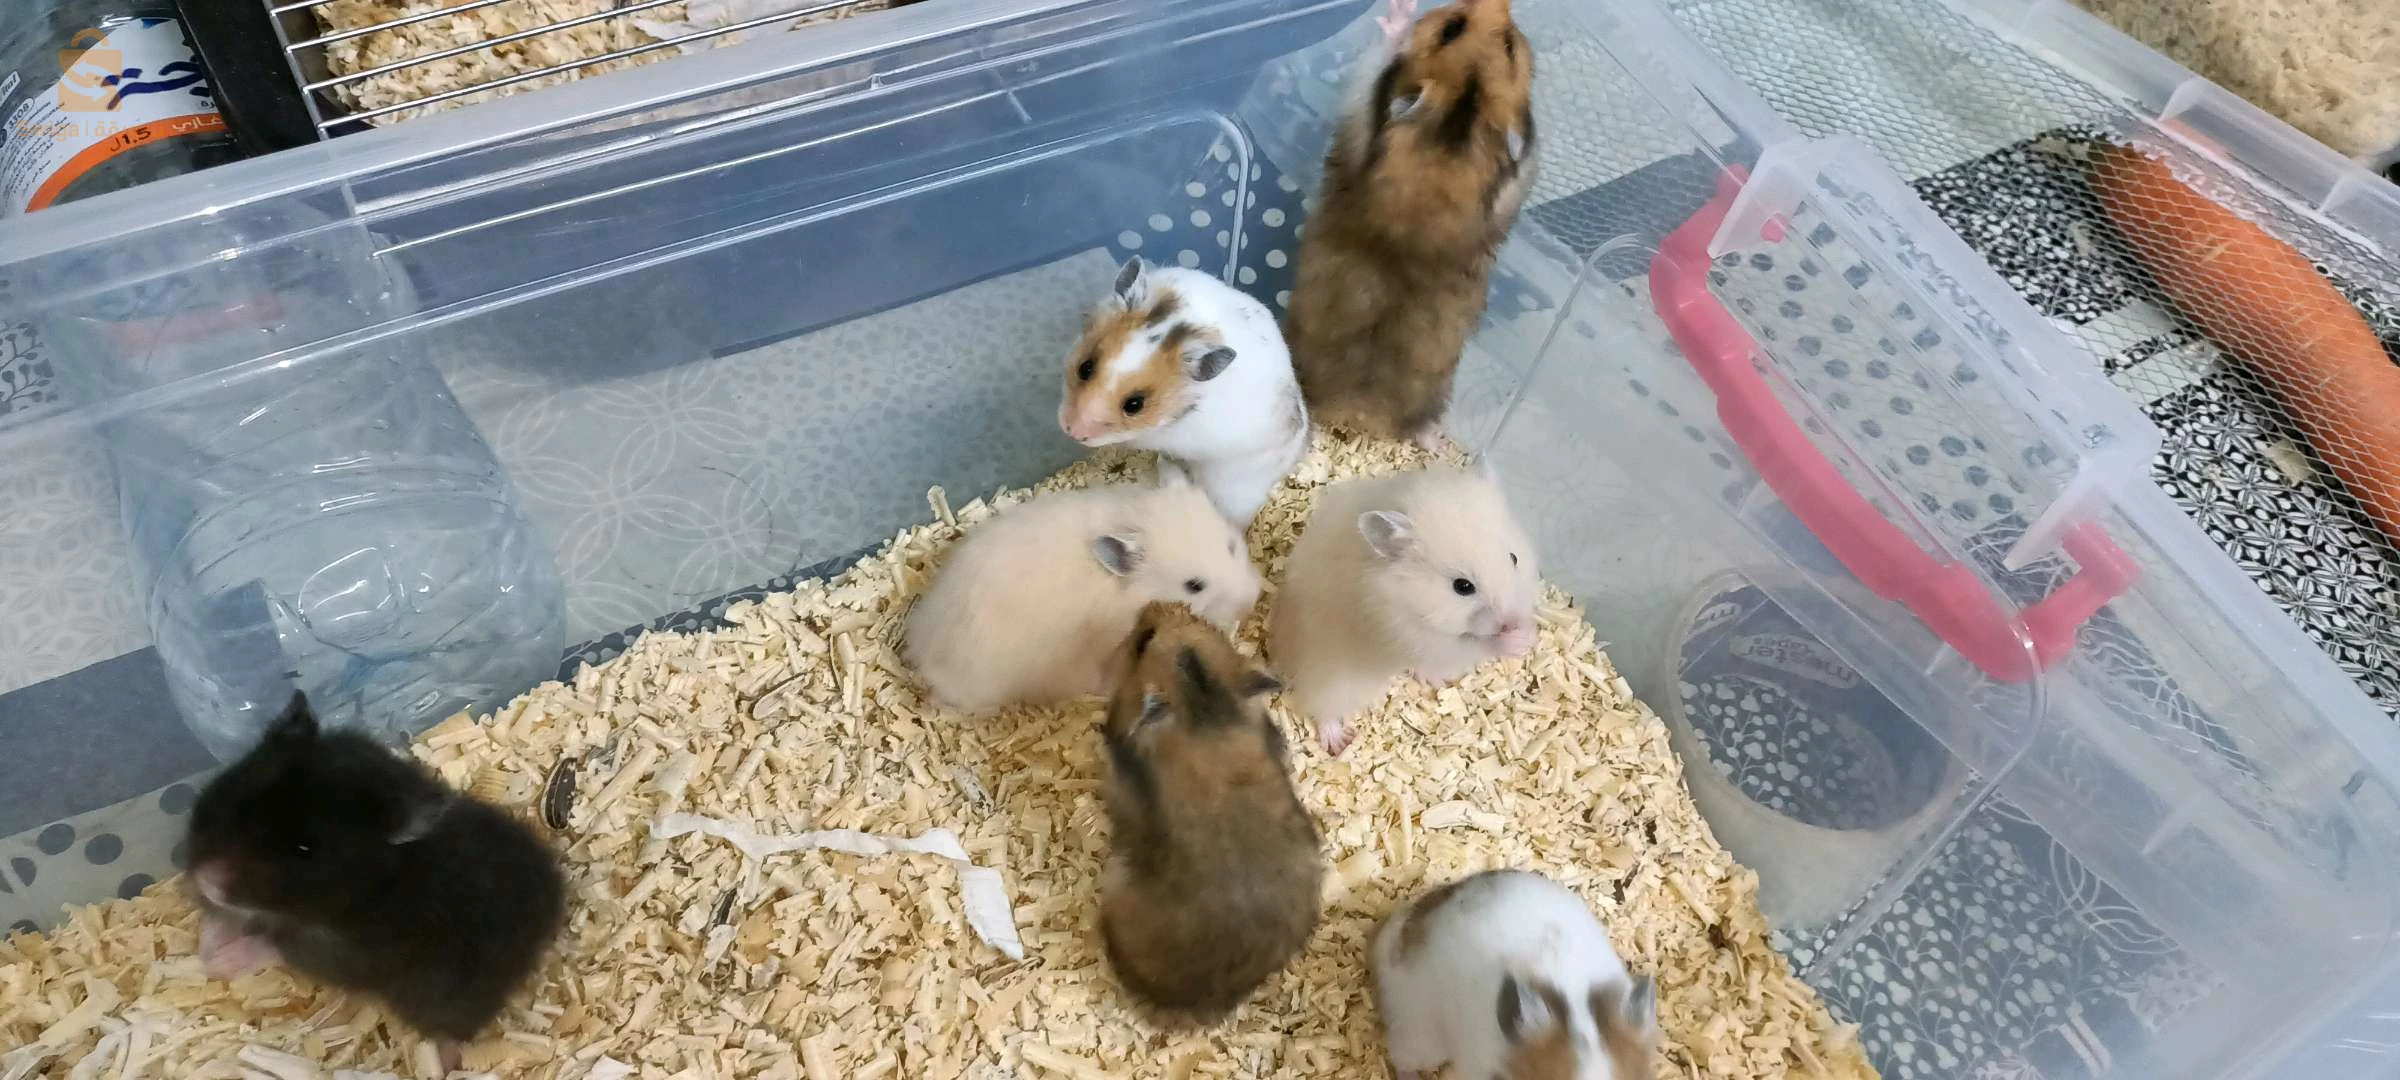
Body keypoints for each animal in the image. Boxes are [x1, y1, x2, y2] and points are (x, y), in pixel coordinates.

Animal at [185, 693, 566, 1072]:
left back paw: (447, 1064)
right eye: (237, 797)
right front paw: (210, 940)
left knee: (455, 1031)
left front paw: (223, 958)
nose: (206, 880)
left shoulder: (349, 954)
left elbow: (274, 946)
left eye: (306, 848)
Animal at [1268, 463, 1537, 754]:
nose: (1512, 621)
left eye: (1514, 558)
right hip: (1331, 679)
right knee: (1321, 707)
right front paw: (1517, 642)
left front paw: (1529, 633)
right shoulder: (1412, 636)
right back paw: (1339, 743)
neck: (1409, 600)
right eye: (1462, 586)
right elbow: (1474, 646)